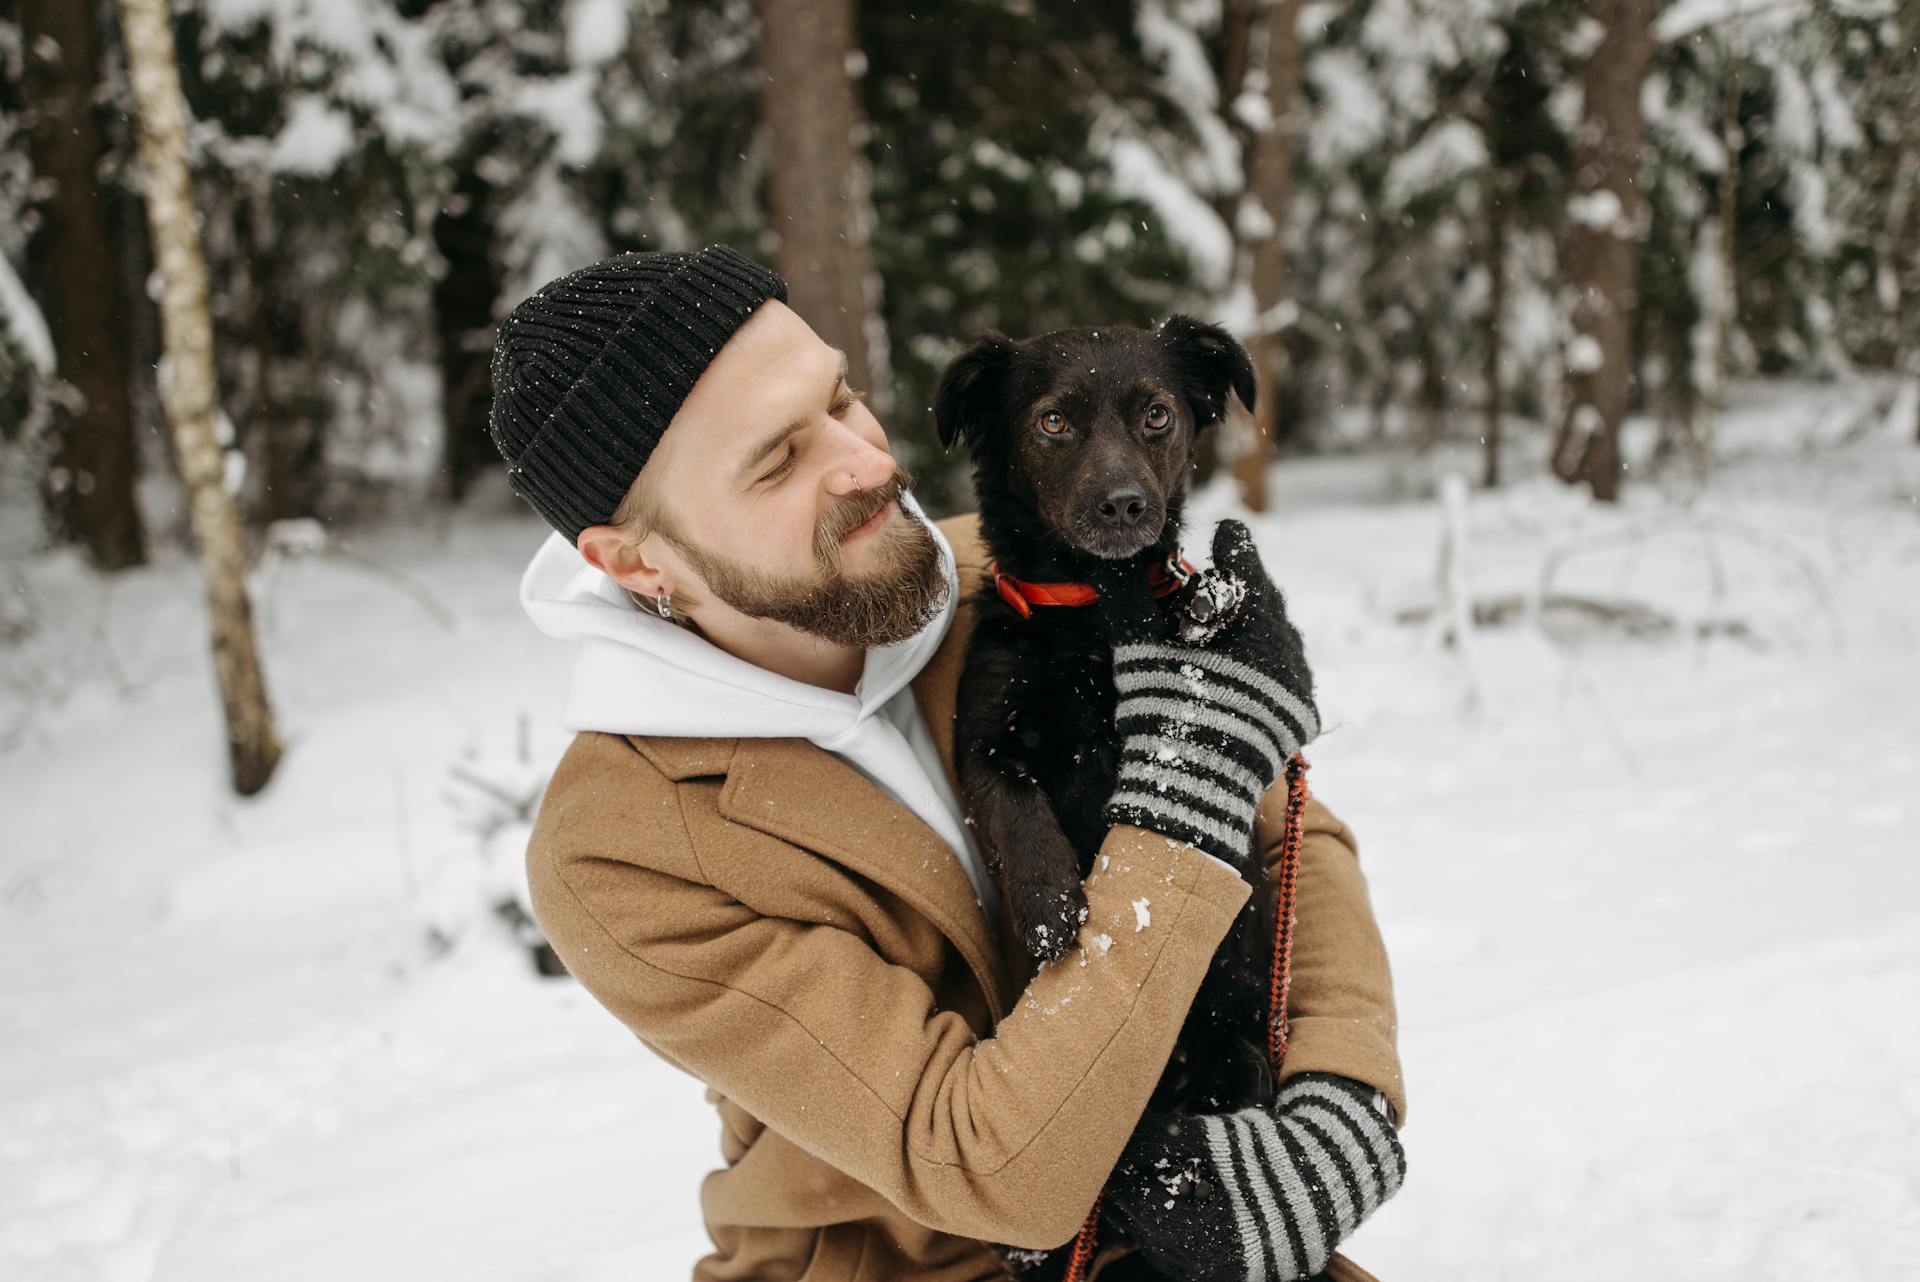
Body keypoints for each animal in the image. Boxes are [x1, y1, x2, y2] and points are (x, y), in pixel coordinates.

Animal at [936, 312, 1282, 1274]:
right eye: (1053, 422)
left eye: (1156, 414)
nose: (1126, 505)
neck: (1092, 615)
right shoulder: (982, 740)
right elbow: (1016, 807)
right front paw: (1052, 904)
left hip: (1235, 1048)